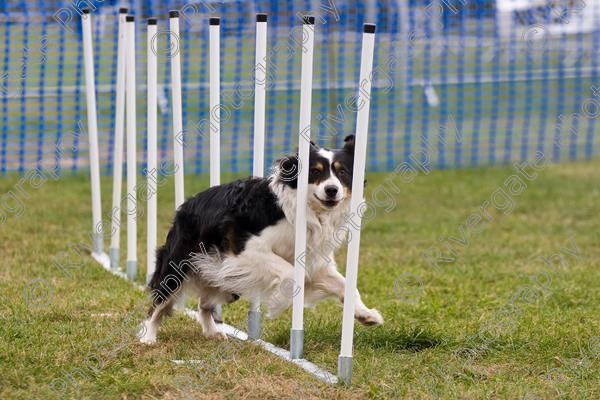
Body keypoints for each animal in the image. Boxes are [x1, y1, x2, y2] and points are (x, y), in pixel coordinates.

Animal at [140, 135, 382, 344]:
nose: (332, 190)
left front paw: (366, 314)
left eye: (343, 172)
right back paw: (148, 337)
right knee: (160, 301)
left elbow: (345, 285)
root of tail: (184, 207)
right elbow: (291, 273)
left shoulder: (315, 260)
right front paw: (278, 303)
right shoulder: (247, 249)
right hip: (180, 263)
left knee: (204, 304)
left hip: (224, 280)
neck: (310, 210)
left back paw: (212, 332)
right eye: (315, 172)